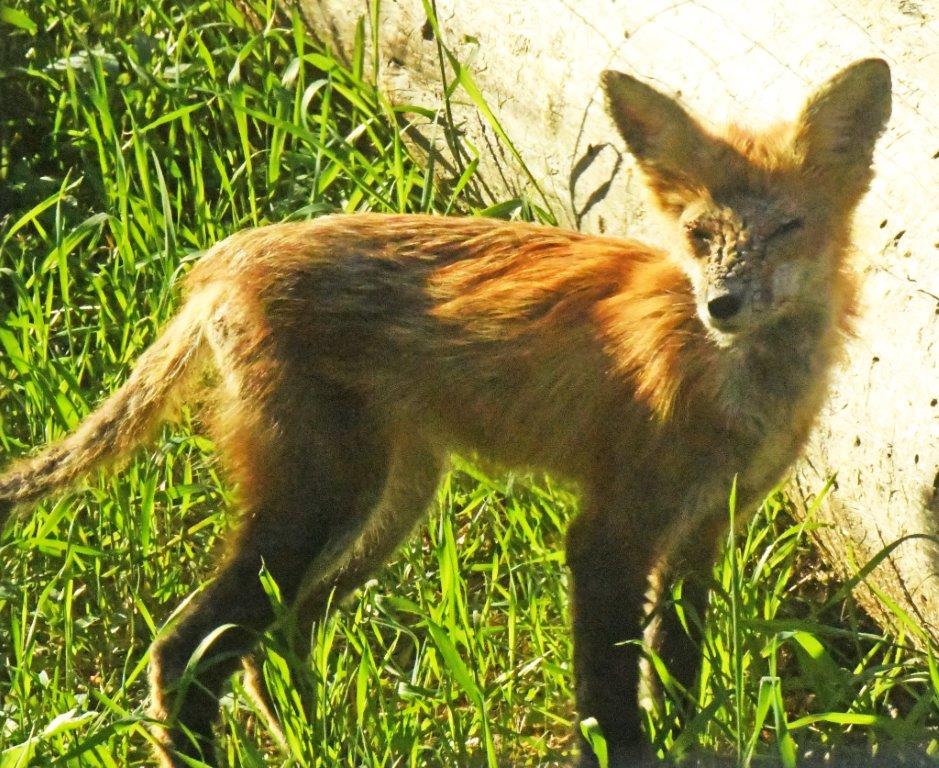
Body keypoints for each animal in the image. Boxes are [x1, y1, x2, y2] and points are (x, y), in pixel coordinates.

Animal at [0, 58, 890, 767]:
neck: (735, 388)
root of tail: (224, 257)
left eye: (787, 227)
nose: (721, 305)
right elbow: (609, 705)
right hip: (319, 504)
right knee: (182, 651)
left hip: (386, 505)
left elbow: (674, 676)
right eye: (700, 234)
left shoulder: (701, 534)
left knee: (279, 640)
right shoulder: (609, 535)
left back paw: (317, 742)